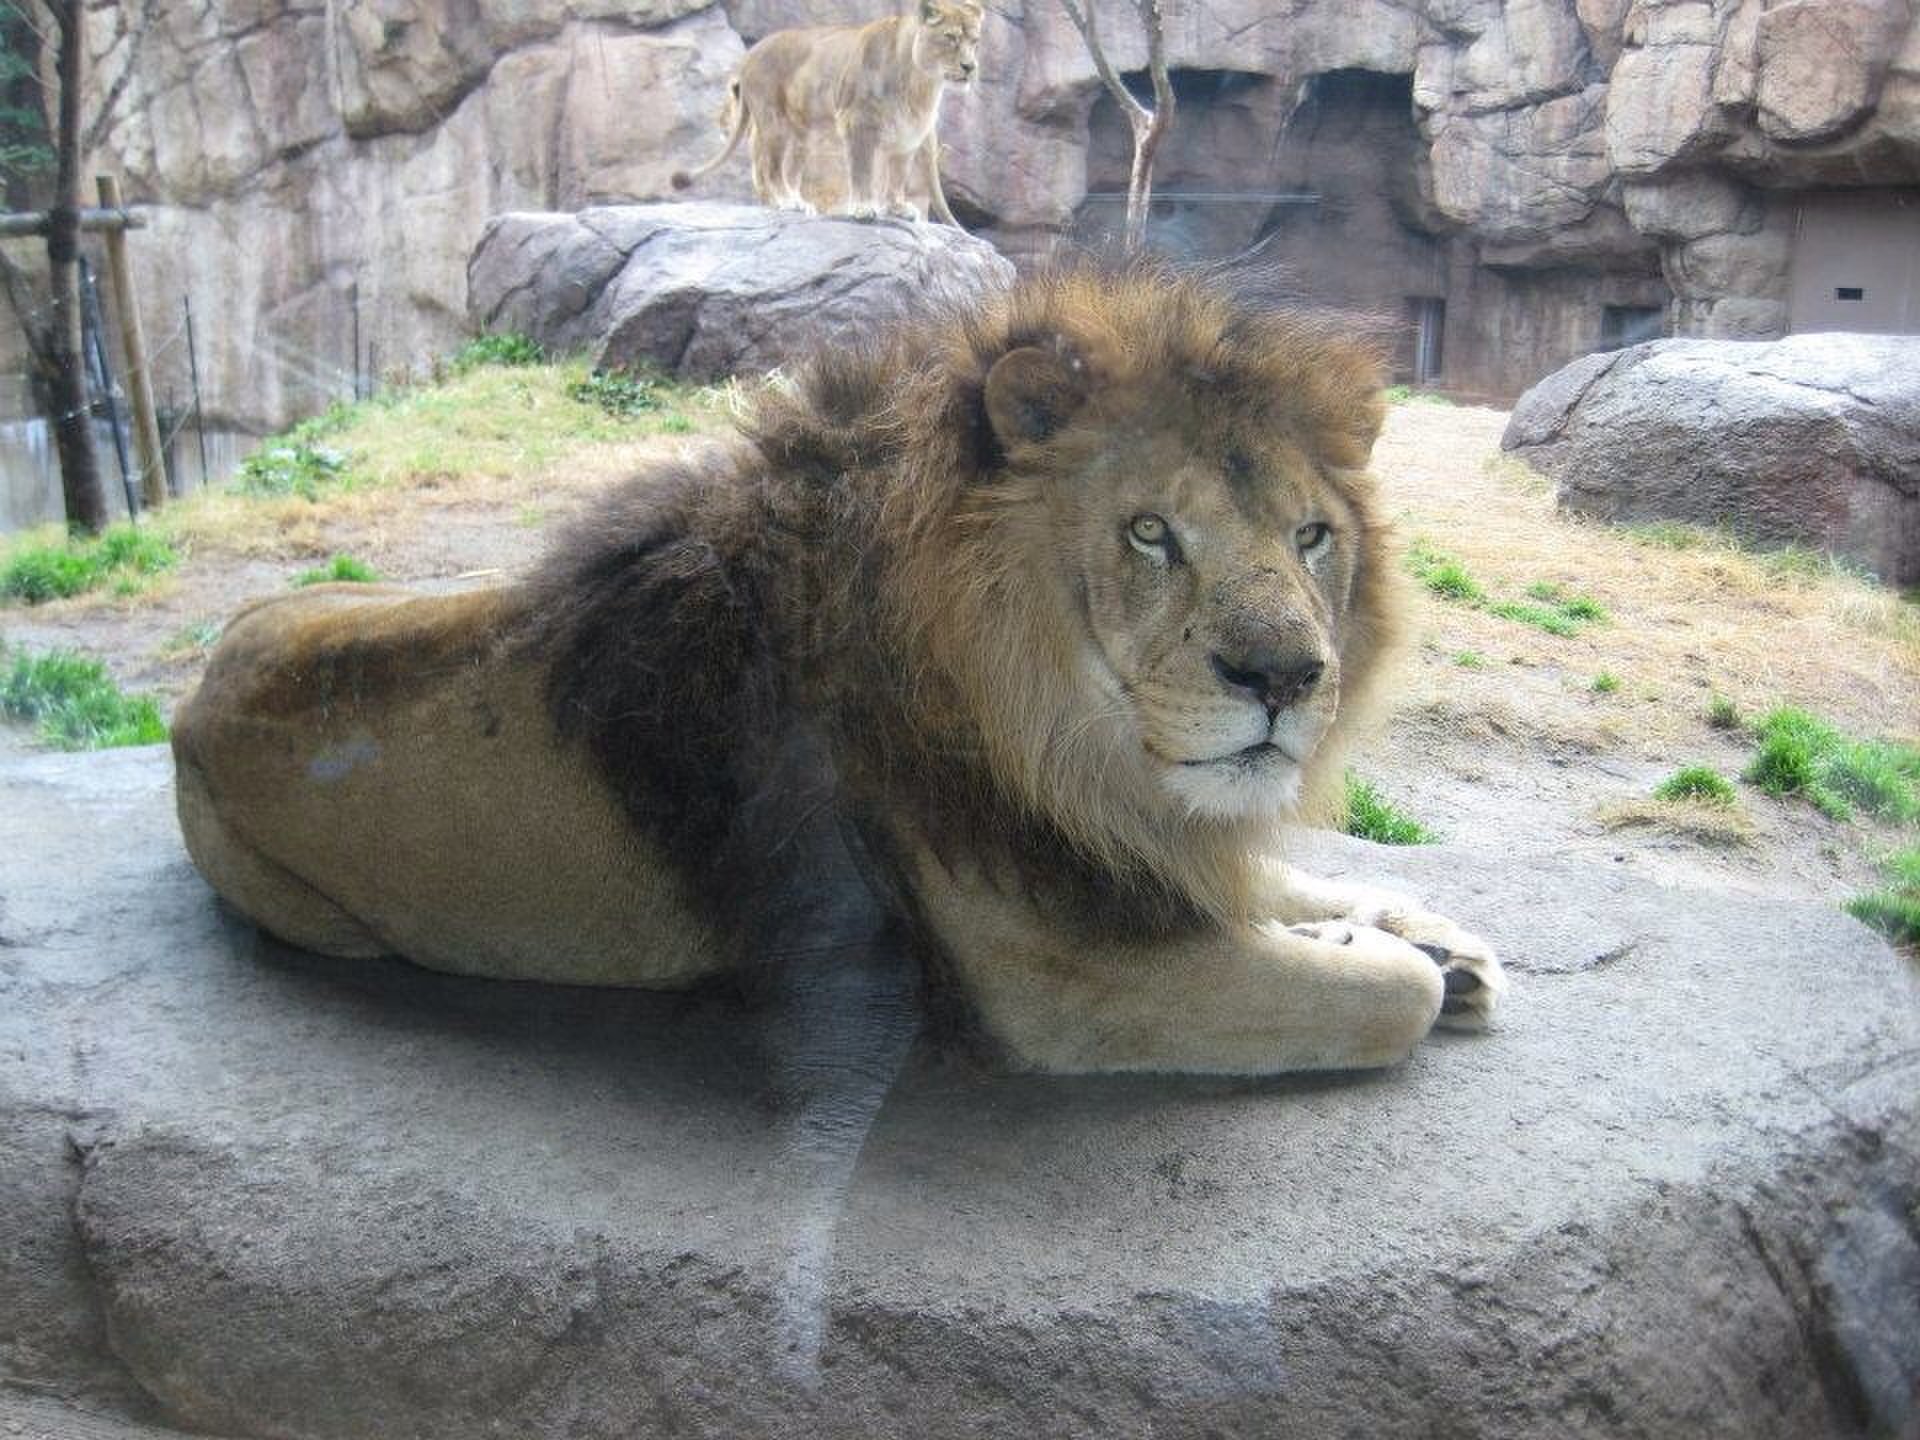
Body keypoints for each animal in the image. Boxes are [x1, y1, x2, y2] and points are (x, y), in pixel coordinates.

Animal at [172, 272, 1497, 1082]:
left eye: (1311, 537)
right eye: (1150, 533)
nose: (1288, 677)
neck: (1051, 735)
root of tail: (195, 682)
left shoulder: (1116, 844)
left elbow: (1281, 880)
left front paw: (1430, 936)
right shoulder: (1066, 981)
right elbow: (1374, 997)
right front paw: (1398, 962)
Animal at [672, 0, 975, 222]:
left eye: (975, 41)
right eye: (950, 37)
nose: (970, 66)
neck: (924, 83)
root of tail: (750, 54)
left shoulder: (909, 134)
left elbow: (897, 175)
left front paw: (897, 208)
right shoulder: (857, 122)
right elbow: (862, 171)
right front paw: (863, 209)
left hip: (801, 135)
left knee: (784, 170)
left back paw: (797, 202)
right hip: (774, 123)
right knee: (770, 168)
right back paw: (788, 203)